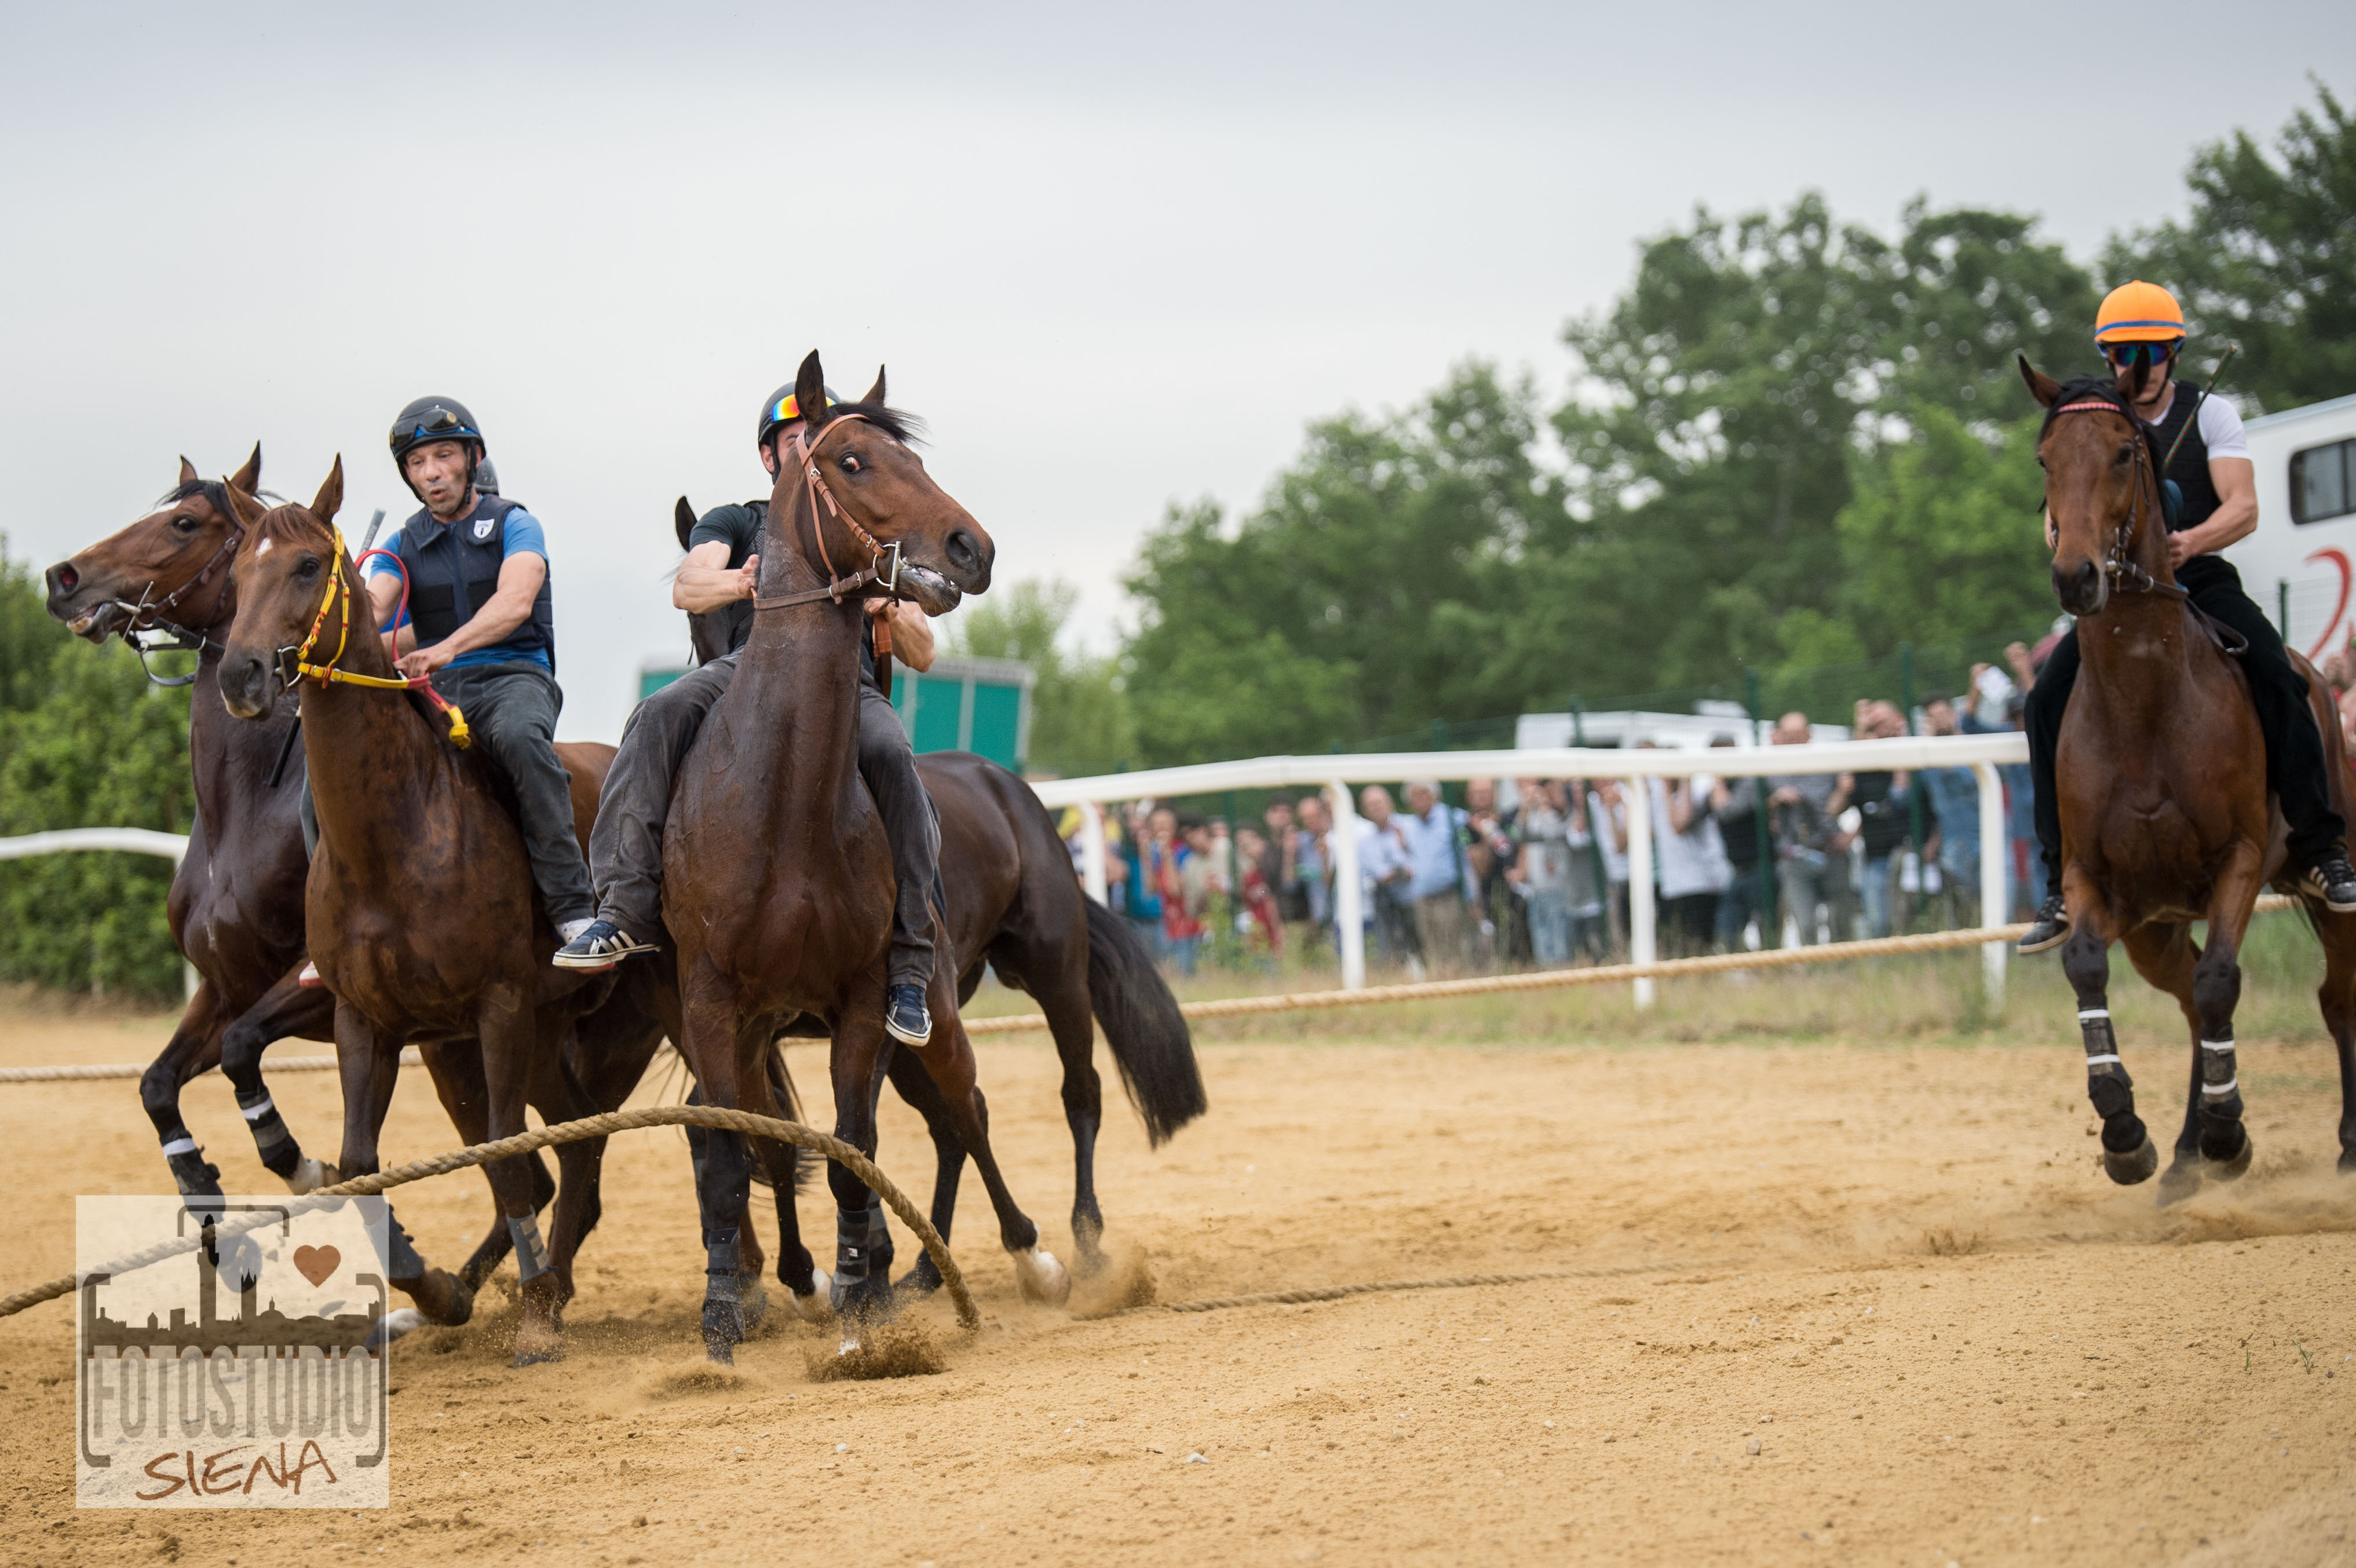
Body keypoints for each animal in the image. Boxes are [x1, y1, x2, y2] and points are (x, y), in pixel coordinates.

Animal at [208, 454, 669, 1356]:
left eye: (307, 565)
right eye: (237, 572)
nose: (240, 674)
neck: (398, 837)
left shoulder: (498, 1006)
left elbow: (506, 1157)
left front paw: (527, 1314)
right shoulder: (367, 1020)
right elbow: (360, 1166)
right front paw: (435, 1290)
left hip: (623, 1029)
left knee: (588, 1149)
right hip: (526, 1041)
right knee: (573, 1153)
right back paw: (527, 1284)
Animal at [655, 348, 1050, 1346]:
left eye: (910, 456)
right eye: (853, 461)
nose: (970, 547)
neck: (785, 807)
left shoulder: (863, 1003)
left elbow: (849, 1152)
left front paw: (859, 1297)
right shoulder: (716, 1010)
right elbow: (738, 1152)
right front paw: (727, 1310)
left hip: (931, 1014)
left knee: (965, 1111)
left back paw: (1029, 1256)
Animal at [2017, 360, 2356, 1196]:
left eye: (2122, 453)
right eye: (2044, 461)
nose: (2075, 577)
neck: (2142, 701)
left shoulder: (2237, 860)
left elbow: (2219, 982)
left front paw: (2229, 1134)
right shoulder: (2091, 877)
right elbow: (2085, 967)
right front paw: (2125, 1135)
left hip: (2323, 883)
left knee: (2335, 997)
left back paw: (2339, 1143)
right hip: (2154, 925)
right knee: (2193, 1007)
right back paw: (2180, 1156)